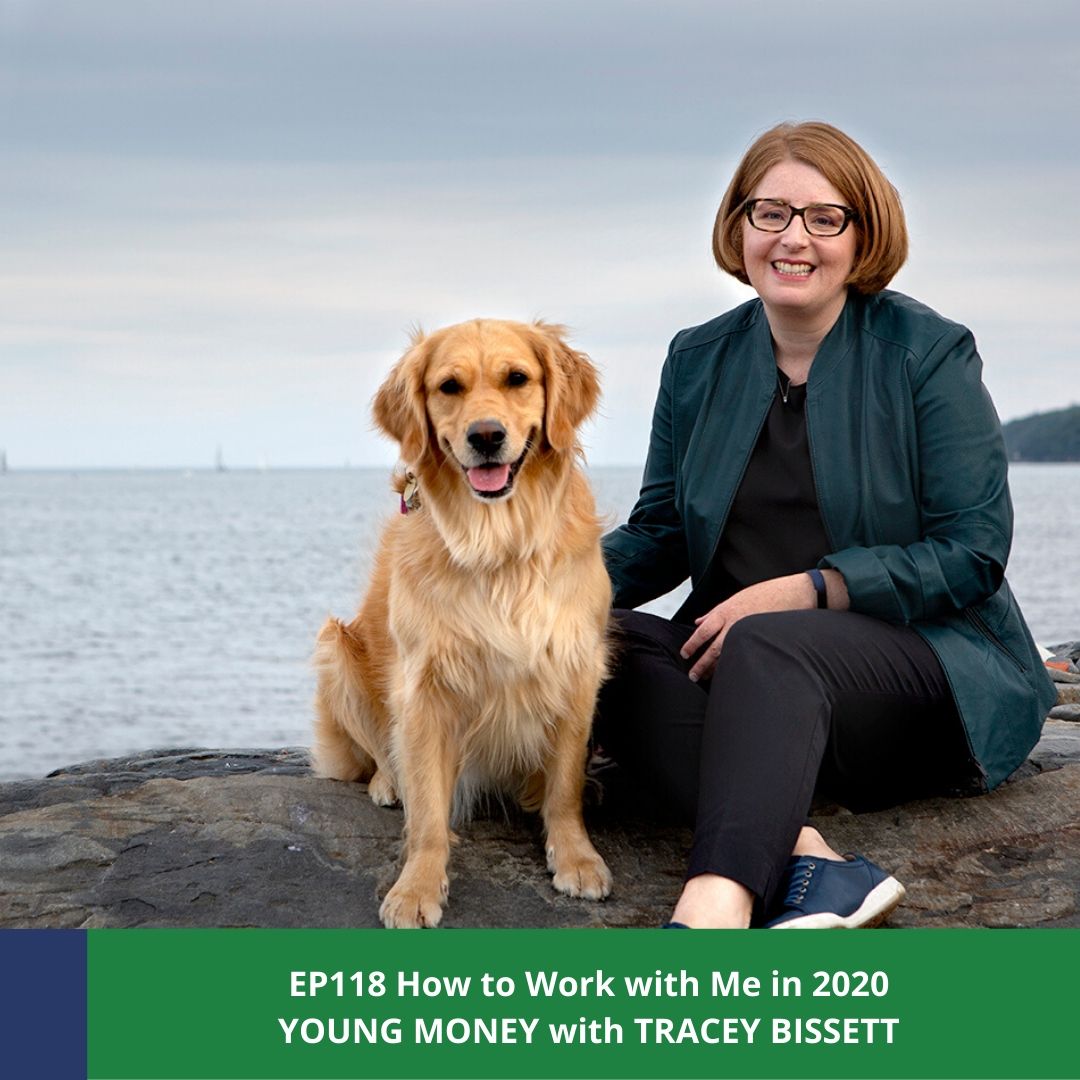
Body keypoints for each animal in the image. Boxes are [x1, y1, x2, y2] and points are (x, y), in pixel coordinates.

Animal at [315, 317, 613, 928]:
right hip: (336, 646)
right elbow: (430, 812)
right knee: (379, 753)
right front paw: (417, 887)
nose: (486, 436)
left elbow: (565, 785)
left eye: (517, 378)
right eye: (449, 387)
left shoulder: (576, 666)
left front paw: (575, 856)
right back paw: (389, 782)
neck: (498, 544)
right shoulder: (424, 686)